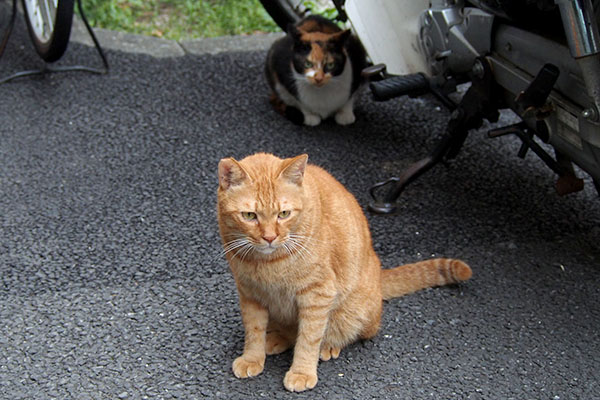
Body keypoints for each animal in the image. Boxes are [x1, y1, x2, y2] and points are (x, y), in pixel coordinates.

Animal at [216, 154, 474, 394]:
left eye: (284, 214)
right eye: (249, 216)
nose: (269, 237)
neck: (267, 262)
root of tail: (378, 275)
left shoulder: (317, 294)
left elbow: (308, 337)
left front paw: (302, 371)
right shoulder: (250, 293)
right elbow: (253, 331)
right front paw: (252, 358)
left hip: (354, 313)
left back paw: (328, 346)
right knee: (287, 331)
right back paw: (276, 338)